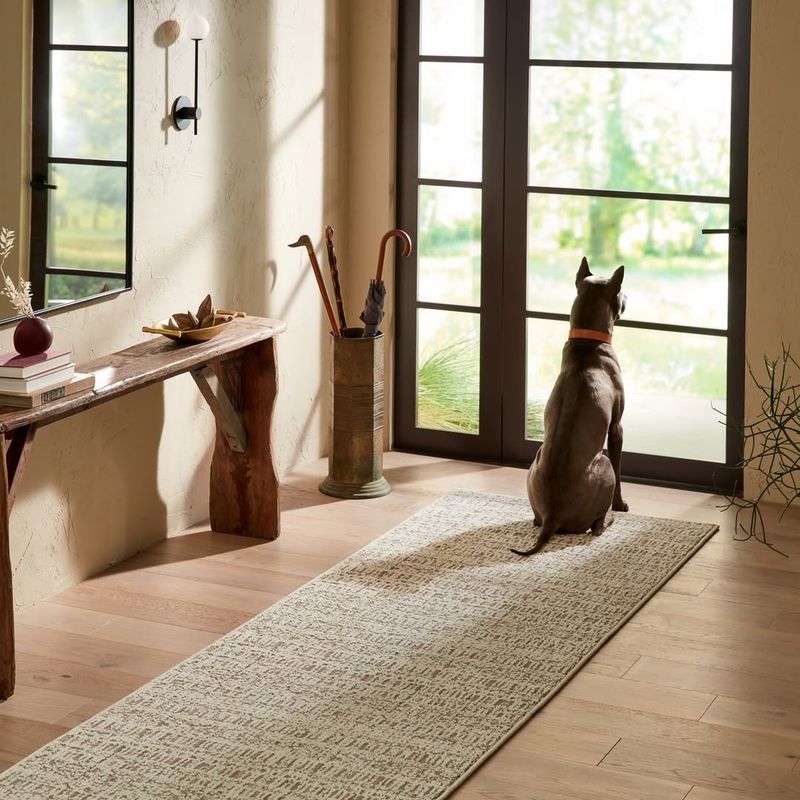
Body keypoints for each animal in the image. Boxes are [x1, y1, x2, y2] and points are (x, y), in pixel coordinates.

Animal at [512, 258, 632, 556]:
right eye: (620, 291)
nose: (628, 297)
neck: (588, 342)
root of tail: (552, 515)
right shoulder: (617, 428)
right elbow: (620, 469)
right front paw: (621, 505)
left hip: (535, 461)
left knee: (535, 519)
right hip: (604, 463)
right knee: (597, 526)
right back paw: (609, 518)